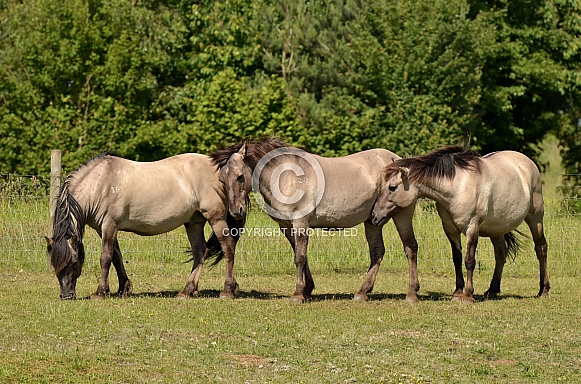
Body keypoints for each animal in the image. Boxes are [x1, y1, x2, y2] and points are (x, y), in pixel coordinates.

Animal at [45, 153, 244, 300]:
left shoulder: (109, 225)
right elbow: (116, 257)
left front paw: (100, 292)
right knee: (200, 252)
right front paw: (123, 288)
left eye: (73, 261)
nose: (66, 295)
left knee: (228, 247)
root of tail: (218, 169)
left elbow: (106, 258)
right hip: (194, 222)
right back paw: (187, 290)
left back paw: (228, 290)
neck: (100, 184)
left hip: (216, 218)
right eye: (53, 264)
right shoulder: (105, 229)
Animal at [211, 138, 420, 304]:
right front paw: (307, 289)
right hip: (373, 220)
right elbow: (300, 255)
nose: (236, 211)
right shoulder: (287, 226)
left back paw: (411, 293)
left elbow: (300, 257)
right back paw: (362, 292)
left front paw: (298, 294)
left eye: (240, 177)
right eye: (222, 180)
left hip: (402, 214)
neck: (287, 178)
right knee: (377, 252)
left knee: (410, 248)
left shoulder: (300, 223)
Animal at [370, 145, 552, 304]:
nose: (374, 215)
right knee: (500, 254)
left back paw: (543, 290)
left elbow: (469, 260)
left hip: (535, 218)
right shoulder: (450, 229)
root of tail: (527, 163)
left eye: (392, 187)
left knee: (541, 248)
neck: (458, 187)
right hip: (497, 228)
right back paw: (492, 290)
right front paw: (457, 293)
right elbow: (457, 259)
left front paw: (468, 296)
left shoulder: (472, 228)